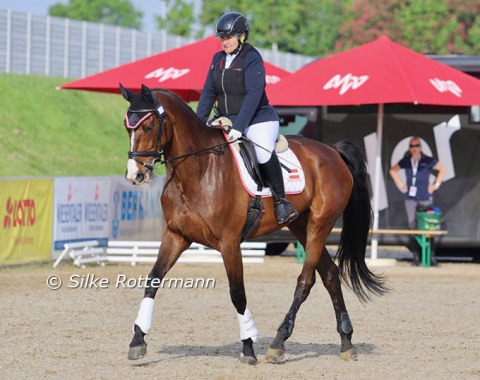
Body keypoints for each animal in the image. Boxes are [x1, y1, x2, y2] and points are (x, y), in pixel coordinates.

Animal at [119, 84, 386, 366]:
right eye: (127, 127)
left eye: (149, 127)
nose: (135, 175)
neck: (198, 169)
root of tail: (332, 151)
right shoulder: (176, 235)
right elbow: (153, 280)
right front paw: (138, 341)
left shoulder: (229, 243)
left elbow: (237, 293)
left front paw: (248, 347)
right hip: (301, 226)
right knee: (331, 275)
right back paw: (346, 342)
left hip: (319, 225)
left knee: (306, 280)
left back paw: (279, 343)